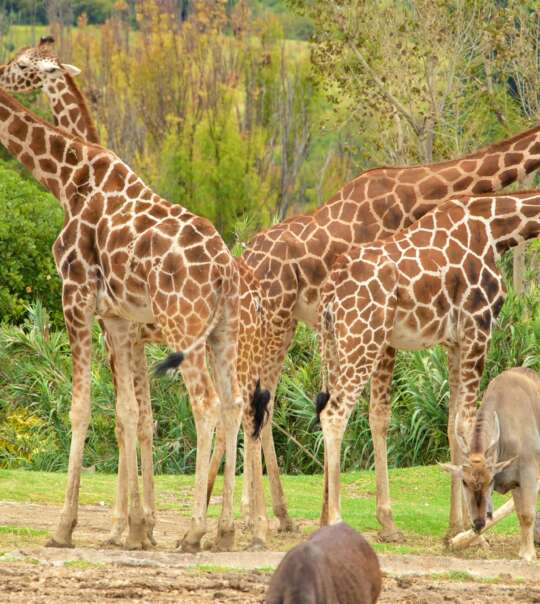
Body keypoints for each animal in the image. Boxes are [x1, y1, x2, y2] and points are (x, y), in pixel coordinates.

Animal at [0, 36, 274, 548]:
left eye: (23, 64)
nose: (0, 73)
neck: (67, 179)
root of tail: (230, 273)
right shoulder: (121, 323)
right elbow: (134, 416)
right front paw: (137, 528)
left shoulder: (78, 298)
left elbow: (88, 408)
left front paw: (77, 527)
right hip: (224, 337)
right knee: (237, 408)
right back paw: (231, 530)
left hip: (188, 330)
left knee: (211, 406)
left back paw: (205, 530)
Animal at [316, 190, 540, 536]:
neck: (496, 229)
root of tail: (331, 289)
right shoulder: (478, 326)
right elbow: (467, 422)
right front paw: (472, 530)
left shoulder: (454, 341)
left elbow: (452, 425)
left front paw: (455, 526)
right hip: (363, 339)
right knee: (334, 414)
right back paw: (338, 519)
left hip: (332, 343)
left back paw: (325, 517)